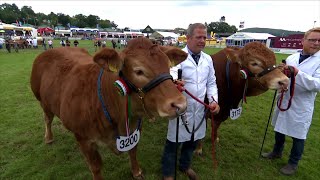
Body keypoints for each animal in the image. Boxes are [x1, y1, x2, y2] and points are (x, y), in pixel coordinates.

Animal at [30, 37, 188, 179]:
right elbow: (96, 167)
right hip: (42, 101)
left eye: (168, 66)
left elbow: (133, 151)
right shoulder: (83, 139)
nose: (180, 104)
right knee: (48, 118)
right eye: (138, 71)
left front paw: (136, 172)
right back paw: (49, 138)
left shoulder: (134, 129)